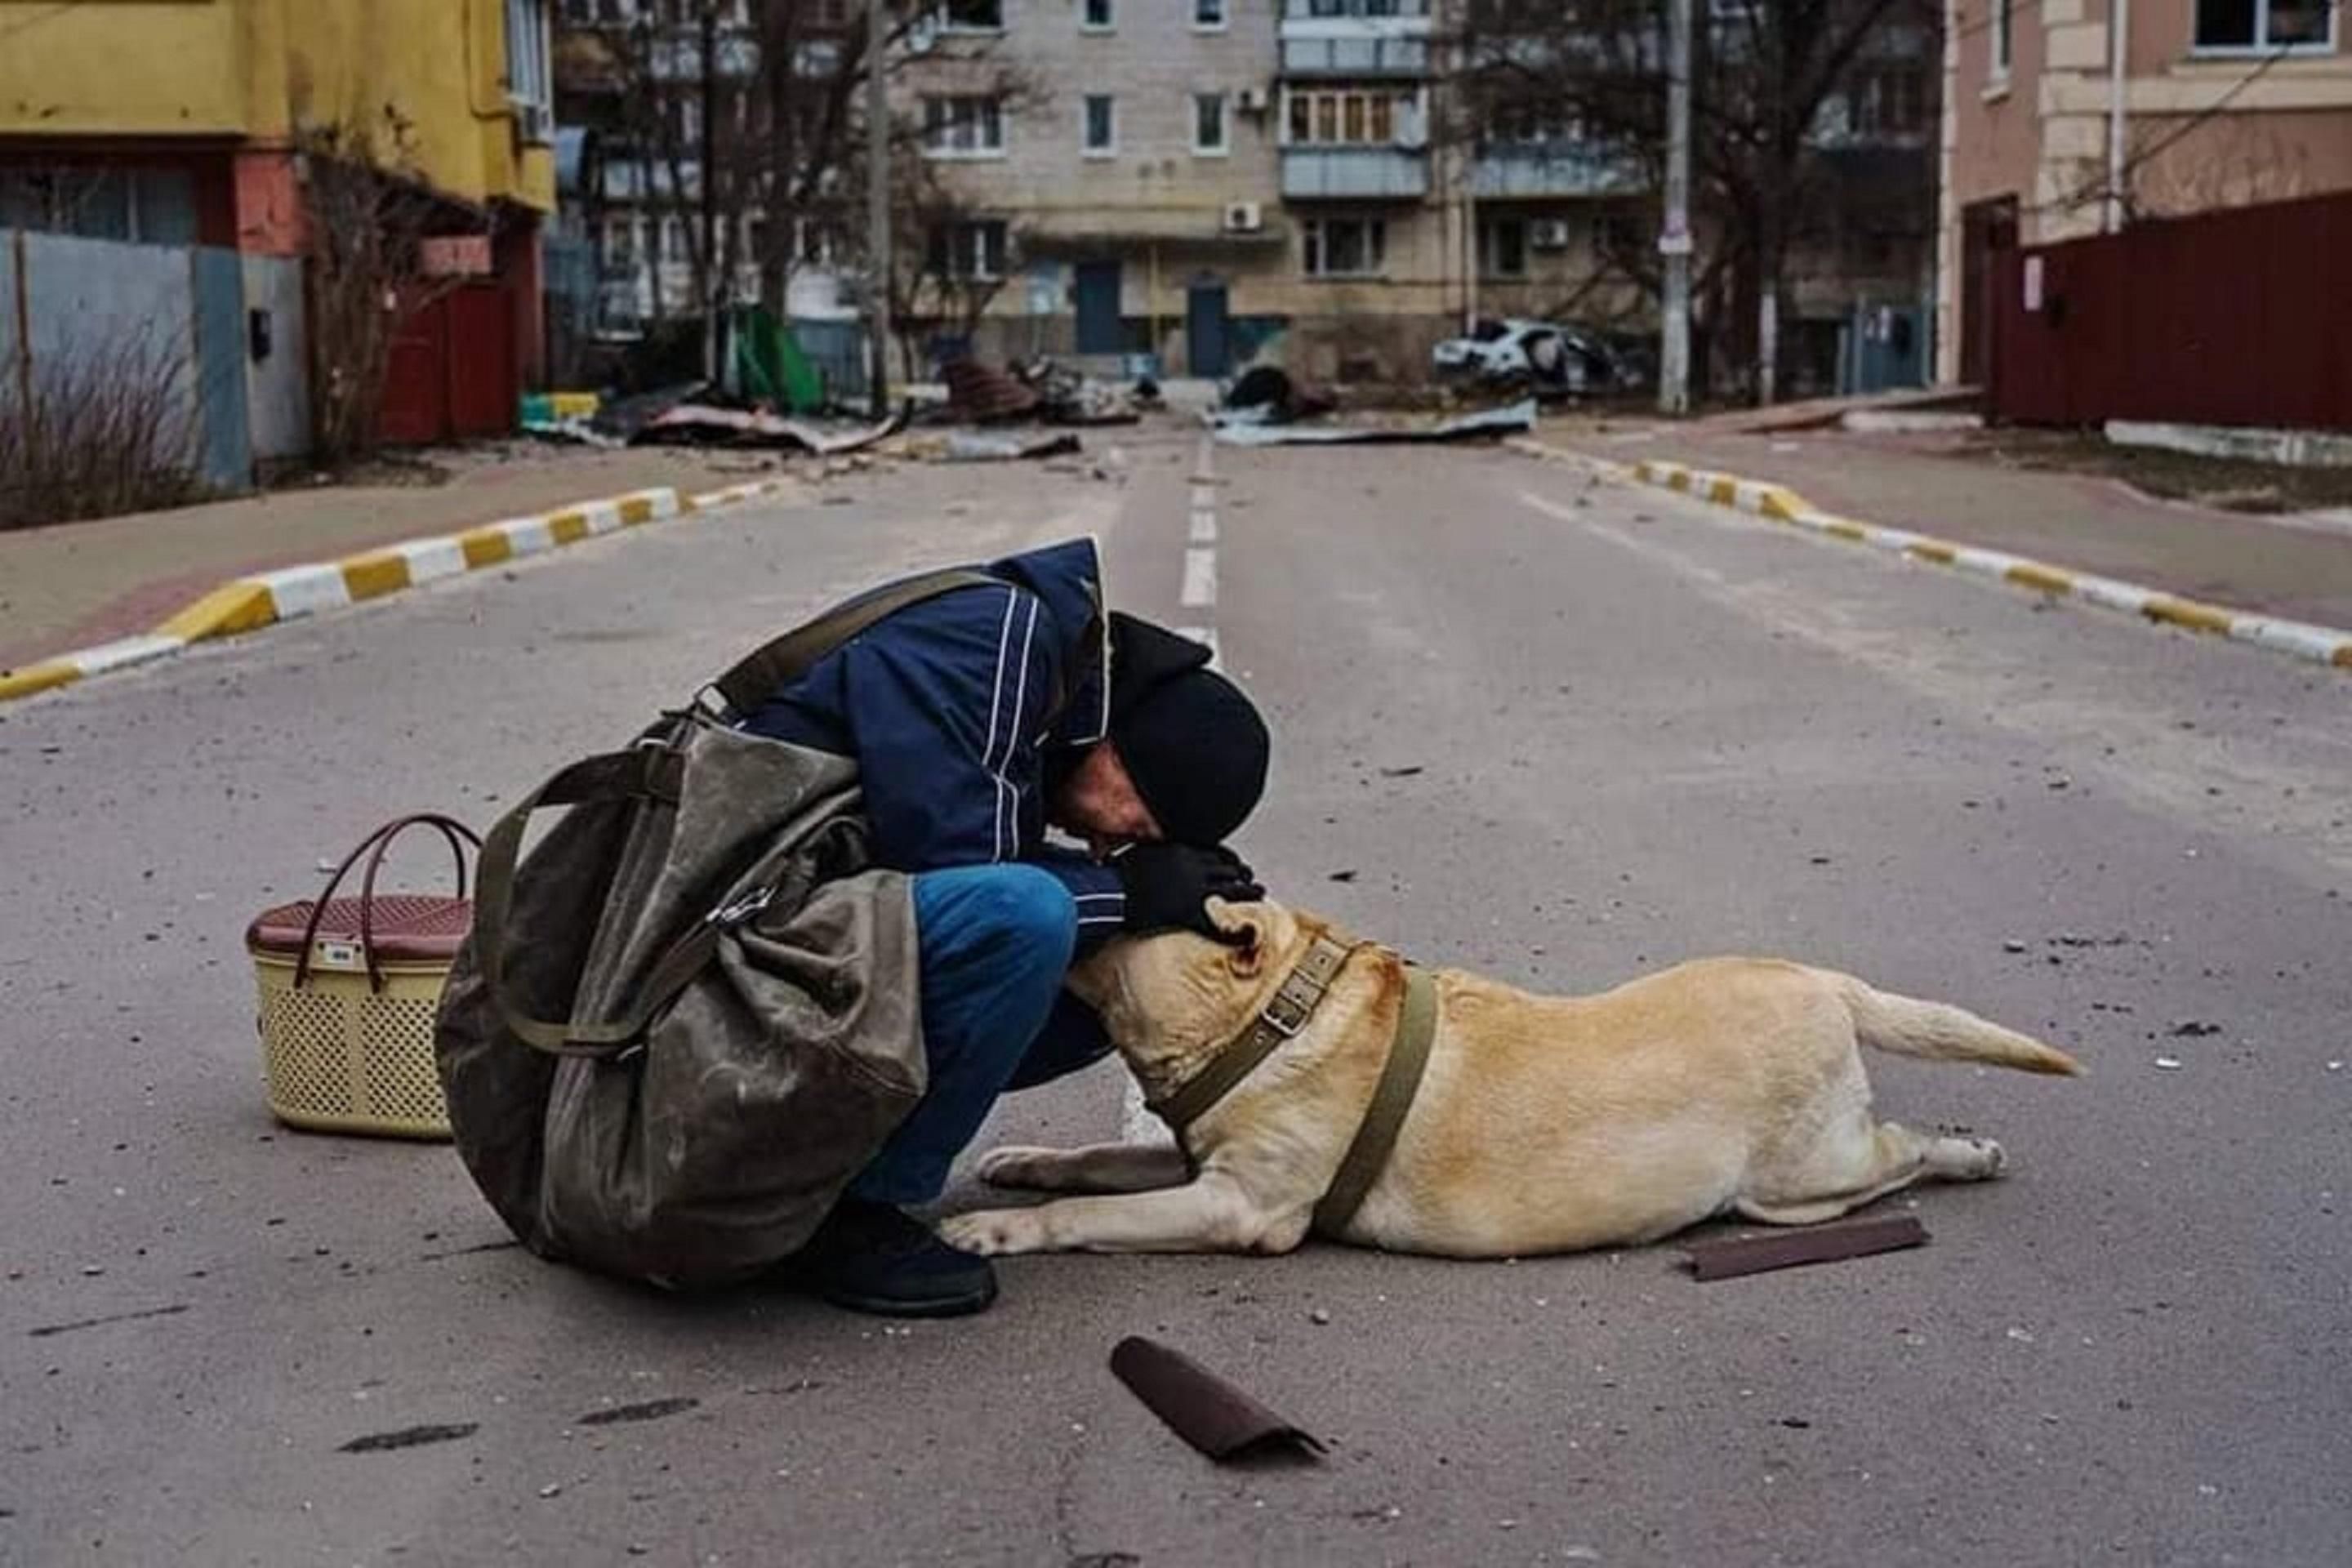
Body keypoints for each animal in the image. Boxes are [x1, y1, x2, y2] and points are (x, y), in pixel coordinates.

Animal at [936, 902, 2078, 1259]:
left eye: (1126, 897)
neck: (1265, 1021)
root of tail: (1825, 980)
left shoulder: (1239, 1206)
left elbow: (1091, 1217)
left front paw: (1000, 1229)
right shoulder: (1193, 1161)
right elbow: (1094, 1161)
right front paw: (1028, 1161)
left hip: (1800, 1182)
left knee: (1901, 1154)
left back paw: (1969, 1154)